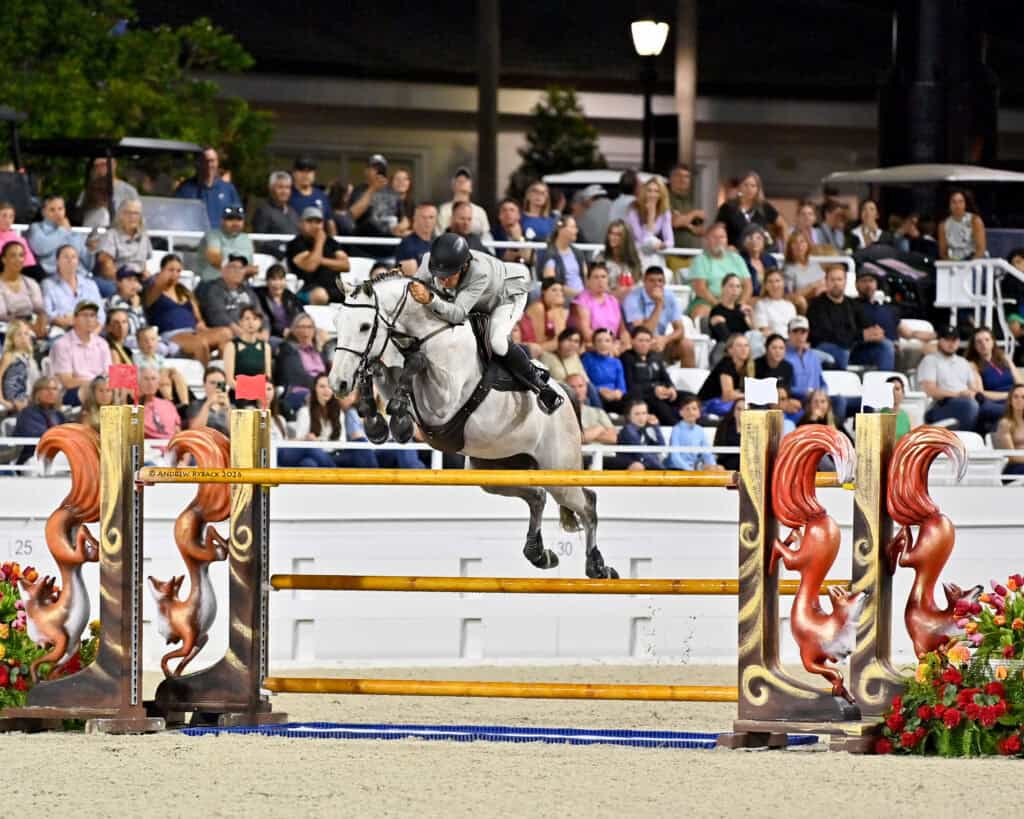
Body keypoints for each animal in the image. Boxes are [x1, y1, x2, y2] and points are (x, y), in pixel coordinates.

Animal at [326, 271, 618, 579]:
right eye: (337, 322)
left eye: (364, 326)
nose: (338, 383)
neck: (427, 332)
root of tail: (565, 392)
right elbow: (382, 372)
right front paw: (378, 422)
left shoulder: (442, 403)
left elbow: (414, 365)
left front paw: (398, 416)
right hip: (493, 470)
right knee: (537, 495)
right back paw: (539, 554)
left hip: (558, 471)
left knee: (587, 503)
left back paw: (598, 566)